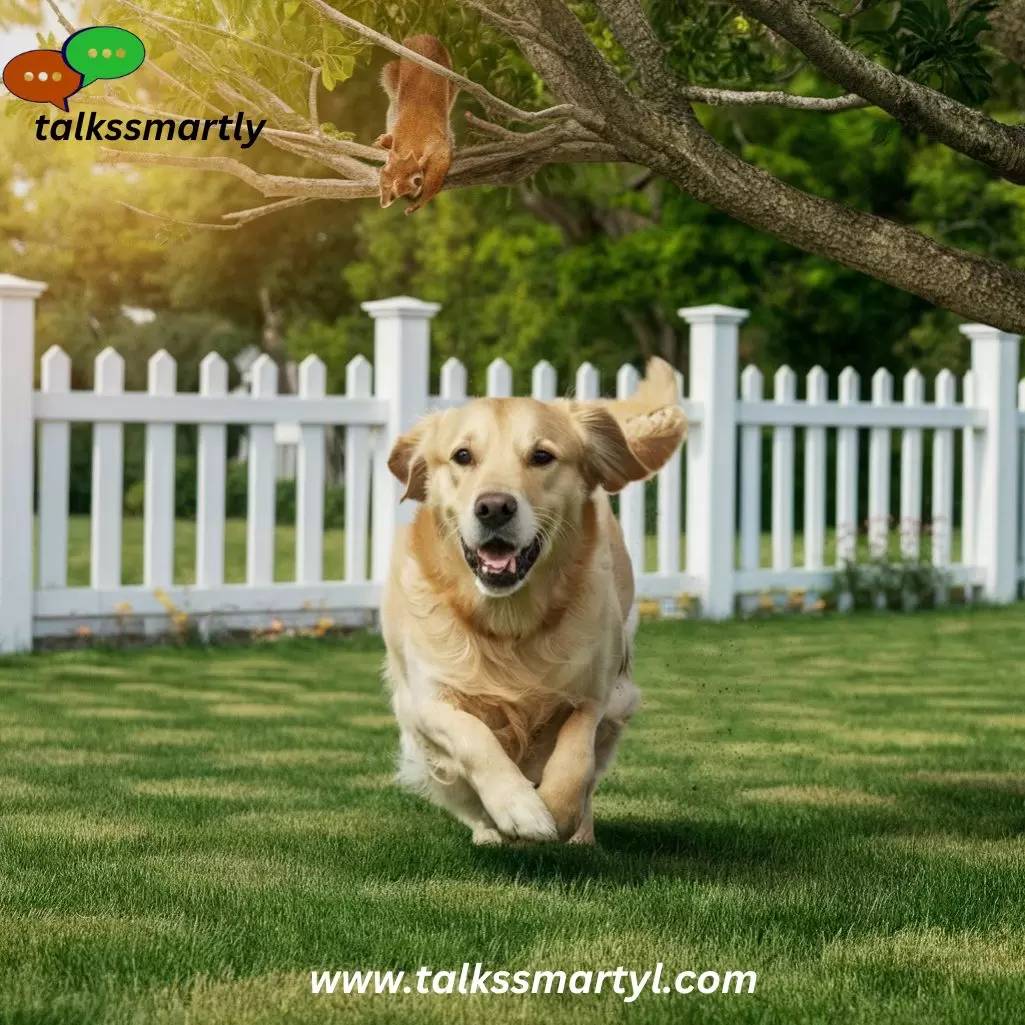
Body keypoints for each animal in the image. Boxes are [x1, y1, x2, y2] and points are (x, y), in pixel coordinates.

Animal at [375, 35, 459, 214]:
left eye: (417, 180)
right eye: (383, 184)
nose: (386, 201)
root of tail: (421, 37)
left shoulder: (438, 149)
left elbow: (438, 171)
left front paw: (419, 202)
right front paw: (385, 142)